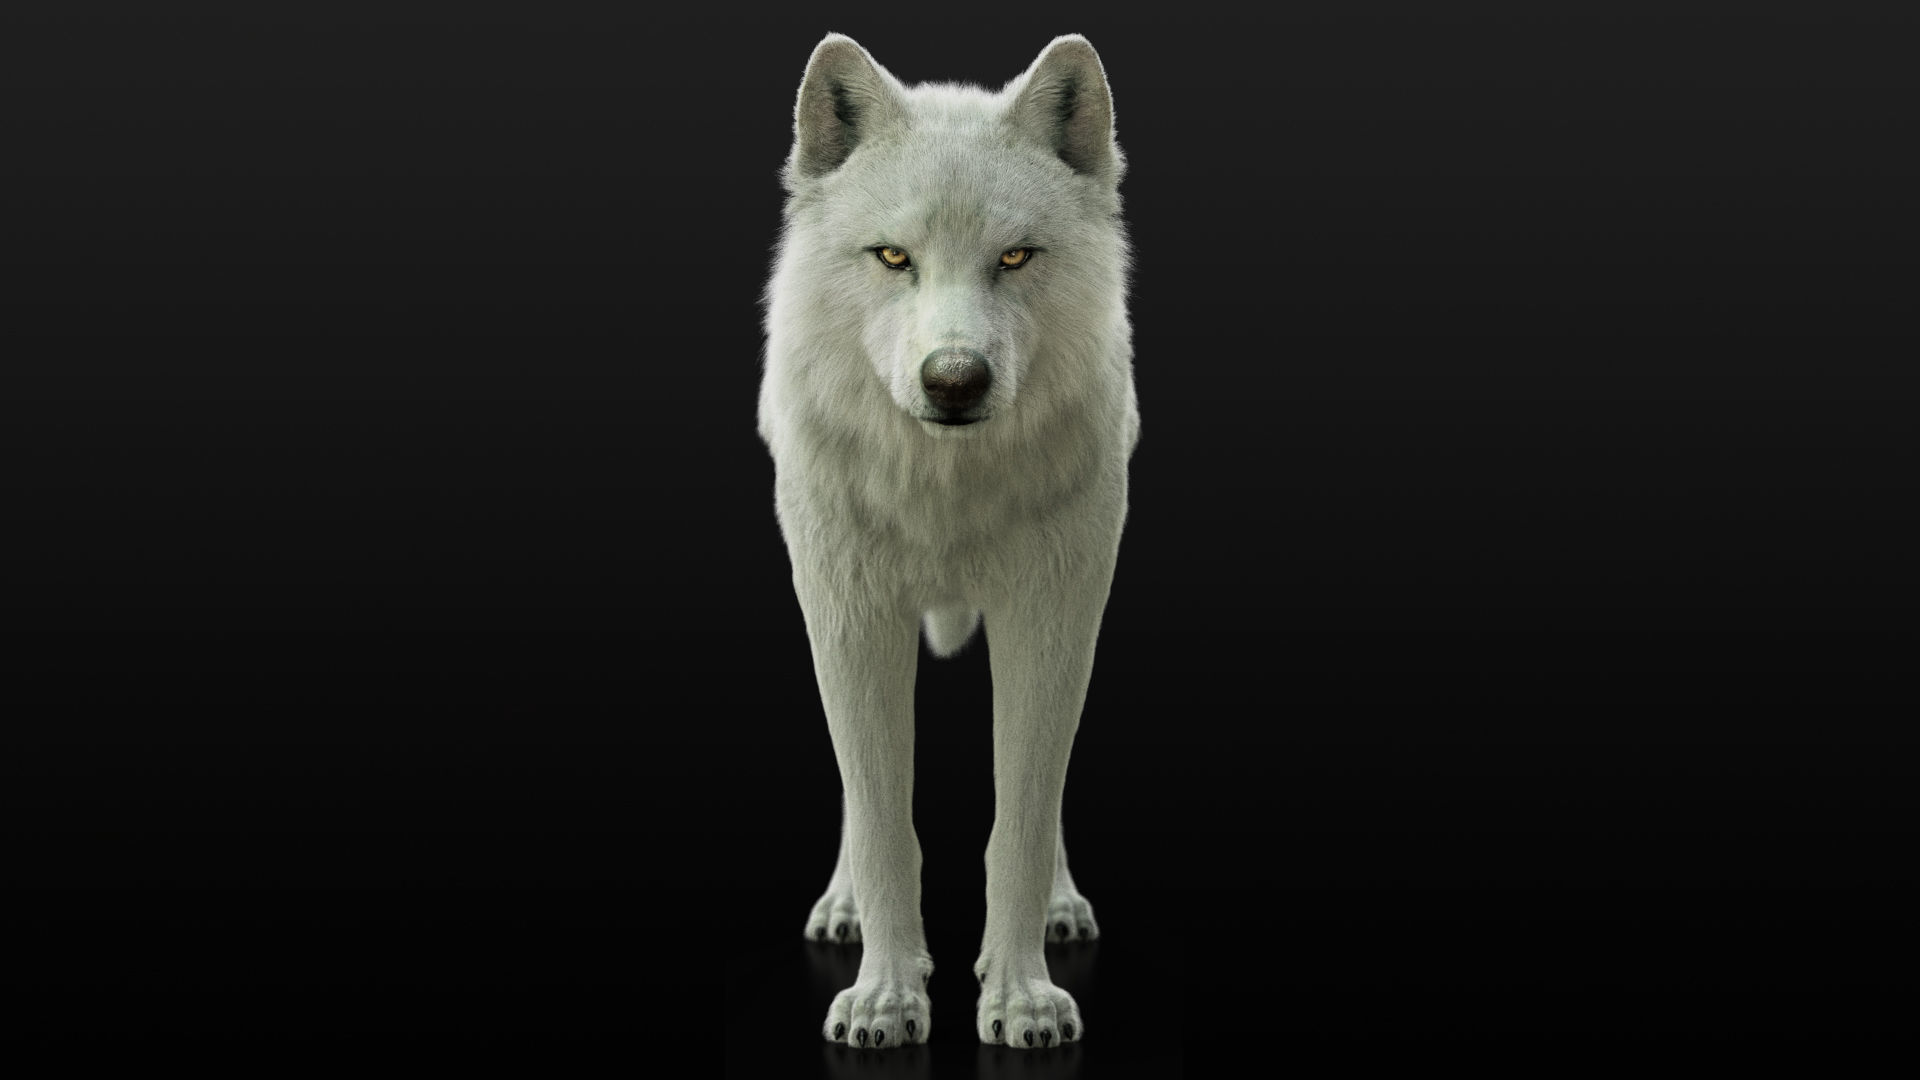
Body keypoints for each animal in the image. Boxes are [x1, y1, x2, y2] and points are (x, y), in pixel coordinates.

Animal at [757, 33, 1137, 1050]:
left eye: (1015, 255)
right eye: (893, 256)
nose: (956, 378)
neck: (945, 491)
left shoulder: (1051, 617)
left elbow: (1022, 820)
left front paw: (1022, 998)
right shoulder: (851, 619)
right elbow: (884, 821)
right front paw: (886, 998)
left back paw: (1062, 906)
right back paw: (842, 908)